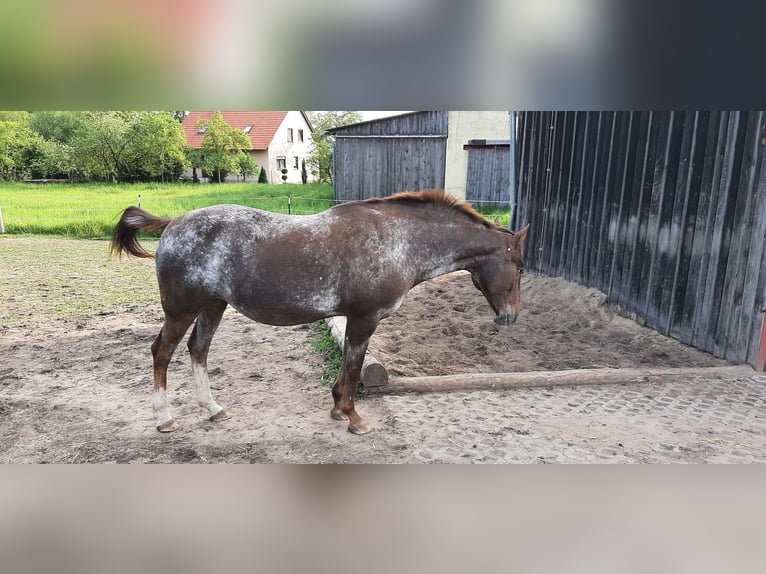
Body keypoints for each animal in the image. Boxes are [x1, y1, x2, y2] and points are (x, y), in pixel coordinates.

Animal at [111, 190, 528, 436]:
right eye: (521, 268)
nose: (511, 317)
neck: (398, 241)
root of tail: (173, 223)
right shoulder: (364, 319)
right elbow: (355, 367)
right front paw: (353, 417)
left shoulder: (354, 320)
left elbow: (347, 365)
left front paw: (337, 409)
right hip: (180, 311)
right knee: (162, 353)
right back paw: (165, 418)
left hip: (213, 307)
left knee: (198, 350)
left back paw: (214, 409)